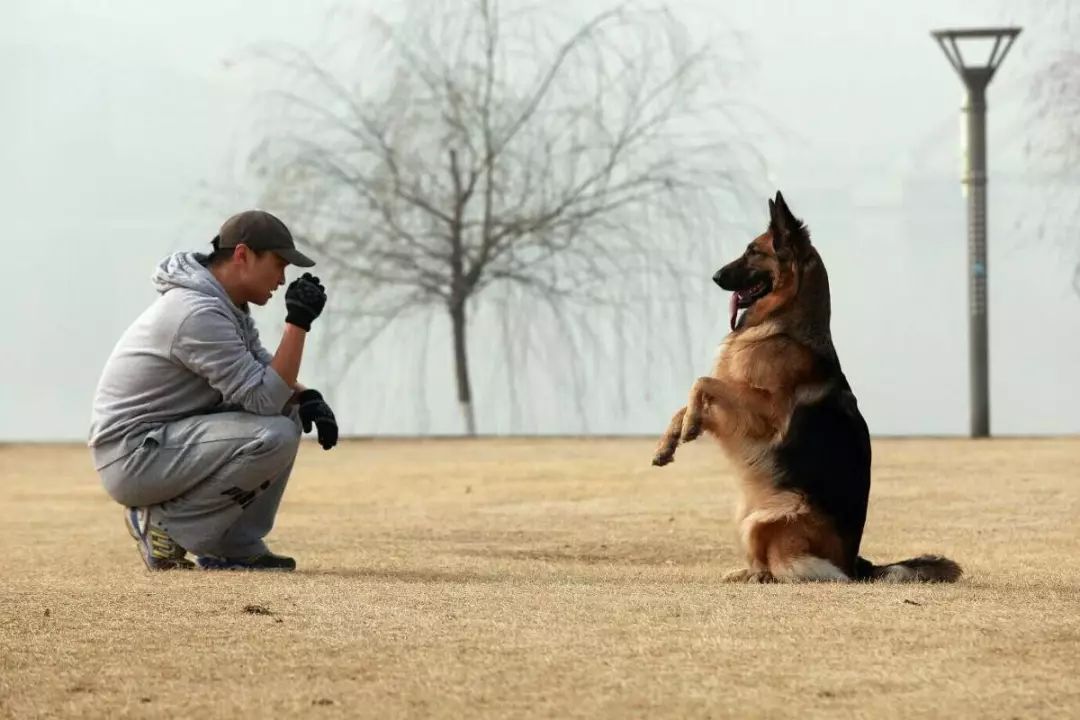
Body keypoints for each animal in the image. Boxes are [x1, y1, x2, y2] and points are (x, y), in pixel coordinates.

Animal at [648, 193, 963, 587]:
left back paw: (760, 576)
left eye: (753, 251)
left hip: (765, 520)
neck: (782, 324)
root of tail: (855, 565)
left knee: (779, 569)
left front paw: (690, 425)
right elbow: (689, 399)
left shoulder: (761, 414)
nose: (715, 276)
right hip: (744, 514)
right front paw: (667, 445)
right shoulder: (736, 413)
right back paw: (743, 572)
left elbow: (702, 382)